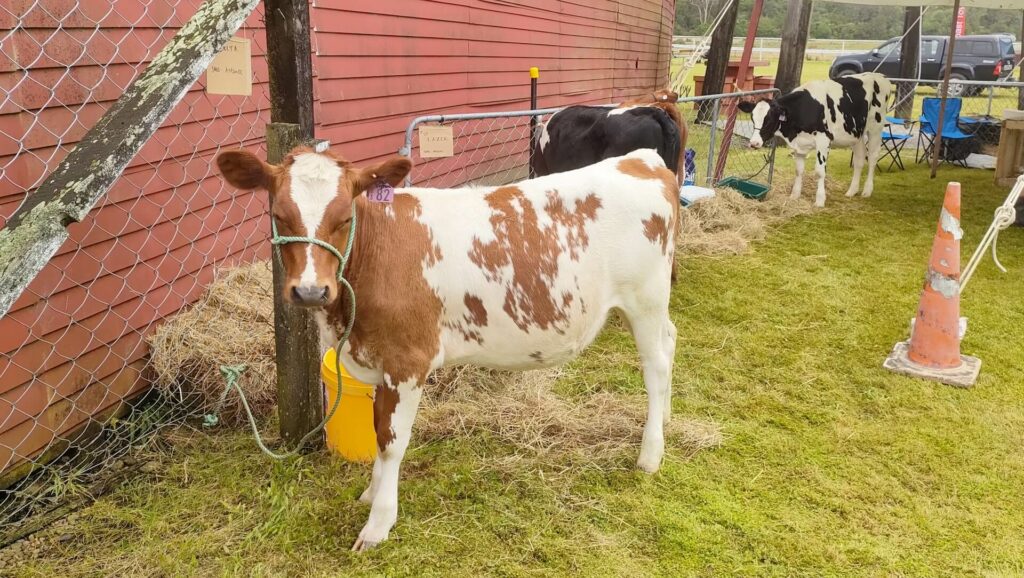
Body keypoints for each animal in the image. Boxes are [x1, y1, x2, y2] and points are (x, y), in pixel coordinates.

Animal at [216, 146, 680, 551]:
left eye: (345, 216)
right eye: (278, 215)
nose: (311, 291)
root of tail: (641, 159)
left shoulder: (407, 361)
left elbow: (392, 441)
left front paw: (378, 523)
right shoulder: (380, 360)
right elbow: (377, 431)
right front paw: (371, 492)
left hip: (646, 298)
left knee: (655, 366)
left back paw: (651, 453)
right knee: (671, 342)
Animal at [737, 72, 892, 208]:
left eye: (769, 120)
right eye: (752, 118)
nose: (754, 143)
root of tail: (880, 76)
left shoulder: (823, 141)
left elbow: (819, 172)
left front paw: (820, 200)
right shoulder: (799, 144)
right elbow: (798, 170)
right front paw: (794, 195)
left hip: (875, 128)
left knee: (872, 158)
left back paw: (867, 190)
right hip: (857, 134)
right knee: (859, 160)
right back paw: (851, 191)